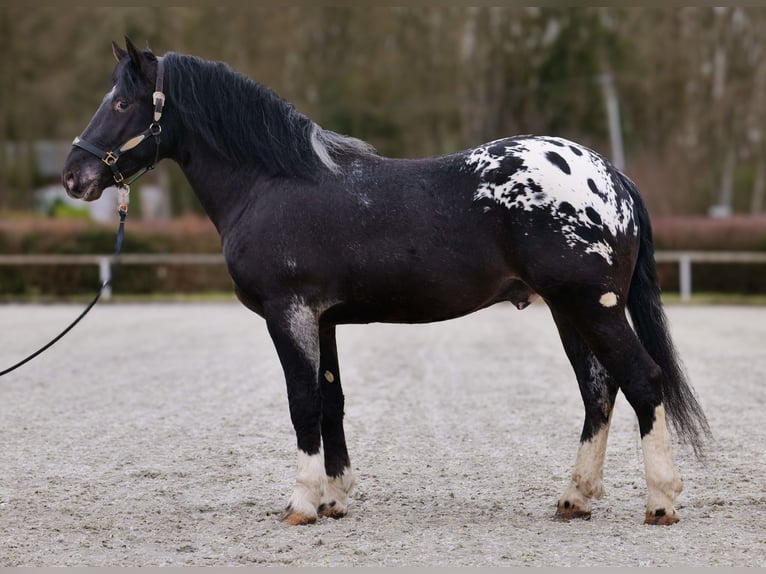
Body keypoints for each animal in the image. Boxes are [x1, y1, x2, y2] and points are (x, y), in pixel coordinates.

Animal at [63, 38, 712, 528]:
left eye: (122, 102)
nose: (75, 176)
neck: (271, 182)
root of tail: (611, 176)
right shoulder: (322, 319)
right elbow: (331, 401)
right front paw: (335, 498)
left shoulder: (288, 312)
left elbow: (302, 403)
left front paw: (302, 504)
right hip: (568, 309)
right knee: (599, 391)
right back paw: (575, 498)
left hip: (592, 306)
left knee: (643, 380)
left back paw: (661, 501)